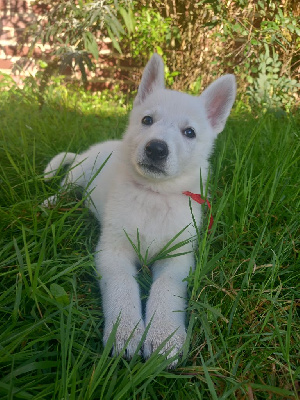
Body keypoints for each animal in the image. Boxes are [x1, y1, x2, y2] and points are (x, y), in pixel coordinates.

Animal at [43, 54, 236, 368]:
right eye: (147, 120)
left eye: (189, 132)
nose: (156, 148)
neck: (154, 196)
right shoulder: (113, 250)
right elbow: (122, 286)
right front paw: (126, 331)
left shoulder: (177, 257)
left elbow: (165, 288)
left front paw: (163, 336)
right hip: (79, 174)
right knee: (63, 189)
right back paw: (49, 204)